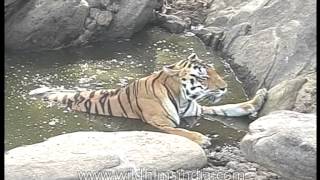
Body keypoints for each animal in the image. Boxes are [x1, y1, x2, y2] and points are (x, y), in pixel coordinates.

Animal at [29, 53, 268, 146]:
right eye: (203, 76)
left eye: (214, 71)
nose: (224, 87)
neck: (182, 97)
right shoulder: (161, 123)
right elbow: (182, 132)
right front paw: (201, 138)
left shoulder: (197, 109)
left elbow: (231, 108)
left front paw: (258, 98)